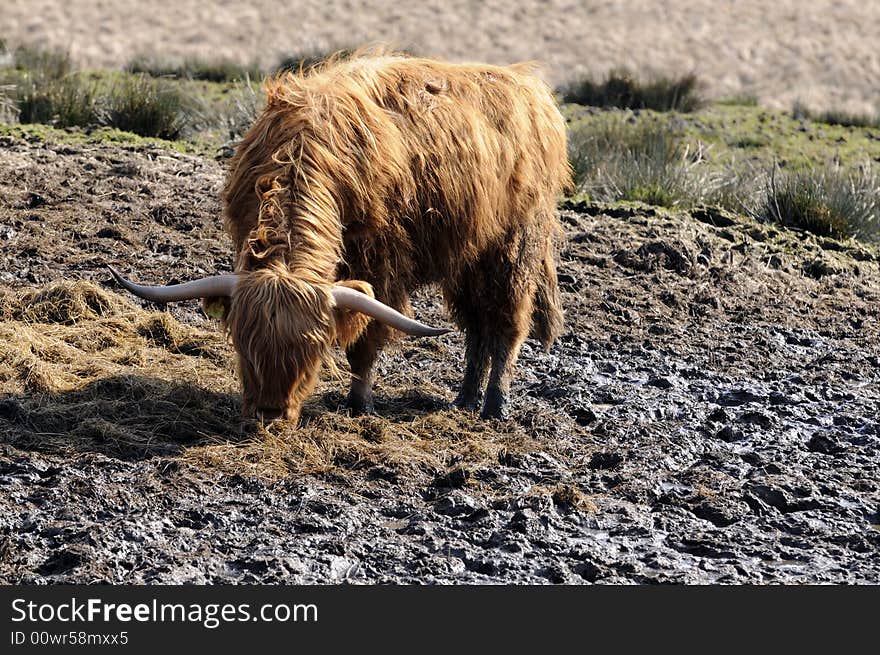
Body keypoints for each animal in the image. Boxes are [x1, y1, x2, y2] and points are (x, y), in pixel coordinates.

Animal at [110, 50, 572, 420]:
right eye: (243, 343)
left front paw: (359, 402)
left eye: (314, 350)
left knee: (507, 322)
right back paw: (464, 399)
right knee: (476, 325)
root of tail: (528, 86)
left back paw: (494, 404)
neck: (303, 153)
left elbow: (368, 337)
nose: (270, 413)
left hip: (514, 246)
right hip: (467, 256)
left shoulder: (383, 266)